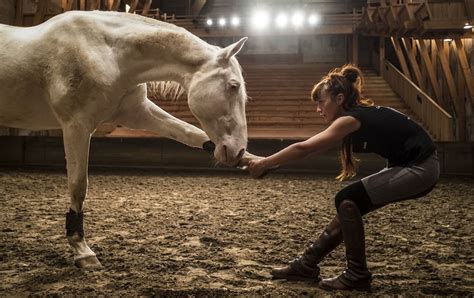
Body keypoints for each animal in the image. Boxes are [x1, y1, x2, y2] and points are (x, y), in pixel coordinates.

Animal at [0, 11, 252, 268]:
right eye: (233, 85)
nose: (238, 150)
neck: (108, 53)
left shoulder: (137, 112)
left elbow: (190, 133)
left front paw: (253, 160)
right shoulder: (76, 126)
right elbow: (78, 186)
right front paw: (82, 250)